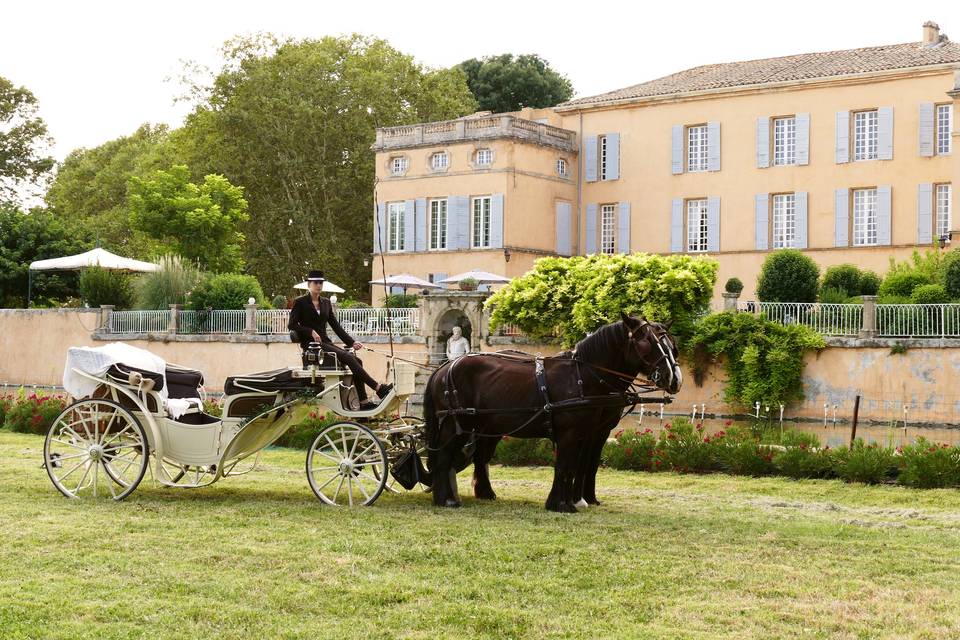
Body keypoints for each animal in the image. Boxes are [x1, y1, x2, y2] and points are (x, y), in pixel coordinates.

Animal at [422, 312, 684, 512]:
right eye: (647, 343)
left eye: (672, 346)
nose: (675, 379)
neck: (583, 376)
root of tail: (444, 367)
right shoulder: (573, 432)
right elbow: (567, 465)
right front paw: (563, 503)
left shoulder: (589, 432)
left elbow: (580, 465)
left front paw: (576, 500)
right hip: (456, 425)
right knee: (444, 456)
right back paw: (446, 499)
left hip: (483, 426)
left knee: (476, 457)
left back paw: (478, 493)